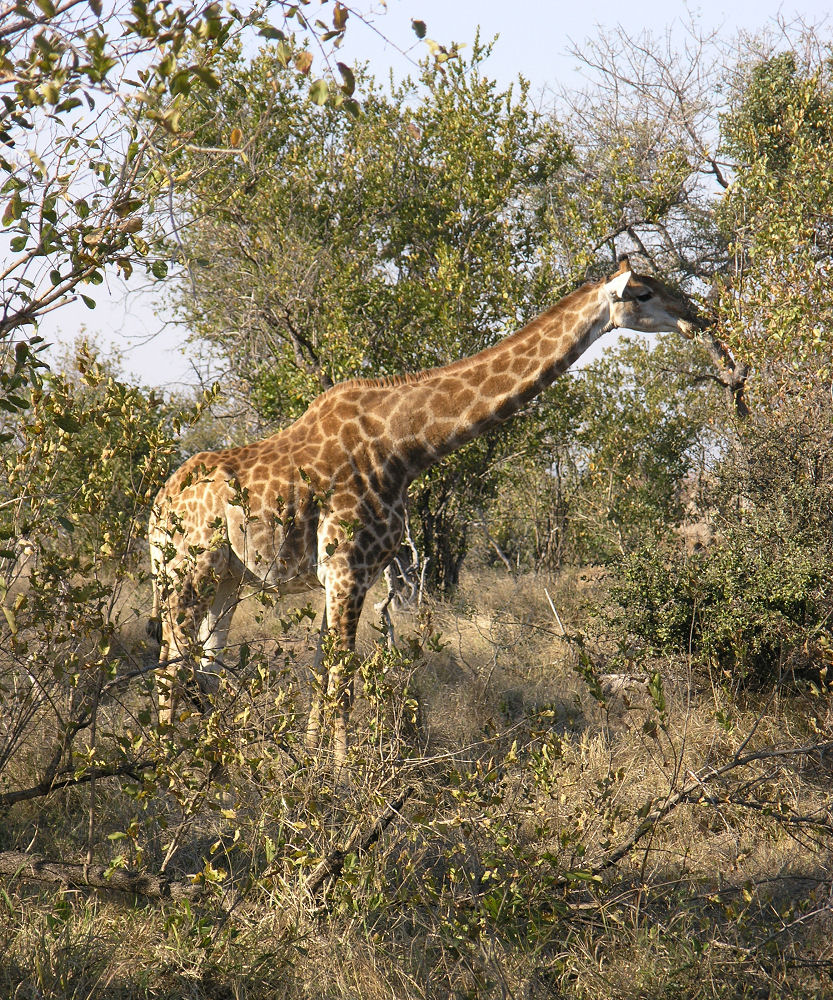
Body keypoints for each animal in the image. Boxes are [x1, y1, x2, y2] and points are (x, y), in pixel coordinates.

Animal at [148, 258, 704, 764]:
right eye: (643, 293)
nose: (696, 317)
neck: (407, 445)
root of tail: (156, 508)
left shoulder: (343, 573)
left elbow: (321, 672)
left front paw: (308, 765)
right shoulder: (349, 566)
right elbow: (343, 682)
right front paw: (341, 783)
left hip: (227, 579)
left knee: (203, 666)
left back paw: (210, 763)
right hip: (187, 571)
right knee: (171, 666)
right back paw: (168, 776)